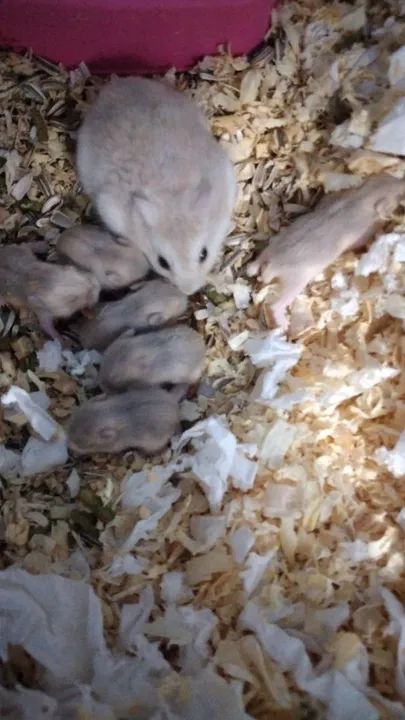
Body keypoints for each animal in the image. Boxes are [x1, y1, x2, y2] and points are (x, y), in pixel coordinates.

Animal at [247, 174, 405, 328]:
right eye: (397, 197)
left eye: (388, 176)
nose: (401, 181)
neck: (364, 196)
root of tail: (272, 265)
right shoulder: (363, 233)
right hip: (295, 282)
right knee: (276, 306)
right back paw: (284, 324)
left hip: (275, 243)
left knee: (257, 261)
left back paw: (252, 269)